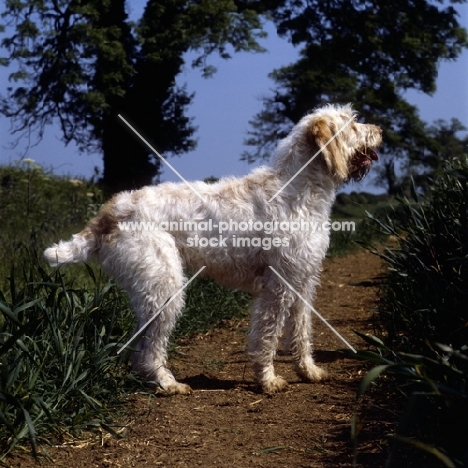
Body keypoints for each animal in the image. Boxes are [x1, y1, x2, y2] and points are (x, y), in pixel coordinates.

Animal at [43, 103, 380, 394]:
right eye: (352, 124)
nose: (380, 130)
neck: (296, 189)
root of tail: (109, 212)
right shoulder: (277, 287)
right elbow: (268, 336)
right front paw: (267, 380)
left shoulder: (303, 281)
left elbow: (302, 332)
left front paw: (308, 371)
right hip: (165, 289)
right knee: (149, 351)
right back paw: (168, 384)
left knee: (140, 349)